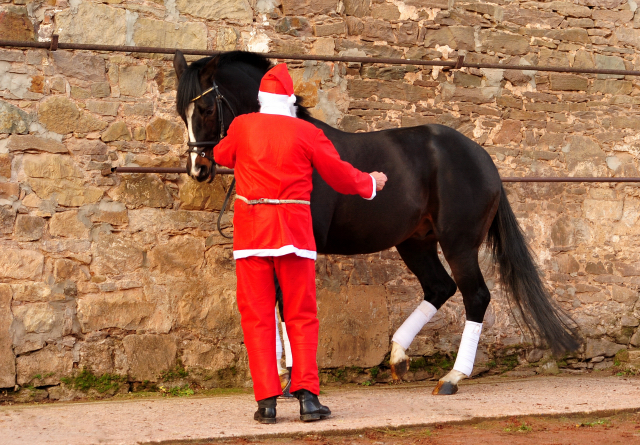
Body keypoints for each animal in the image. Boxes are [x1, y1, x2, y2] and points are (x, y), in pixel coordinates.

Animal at [171, 50, 580, 394]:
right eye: (180, 112)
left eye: (205, 108)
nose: (198, 169)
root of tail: (483, 159)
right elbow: (275, 306)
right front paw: (284, 379)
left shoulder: (301, 247)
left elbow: (289, 306)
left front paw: (293, 383)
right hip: (416, 242)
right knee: (439, 287)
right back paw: (399, 358)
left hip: (458, 243)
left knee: (475, 295)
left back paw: (452, 377)